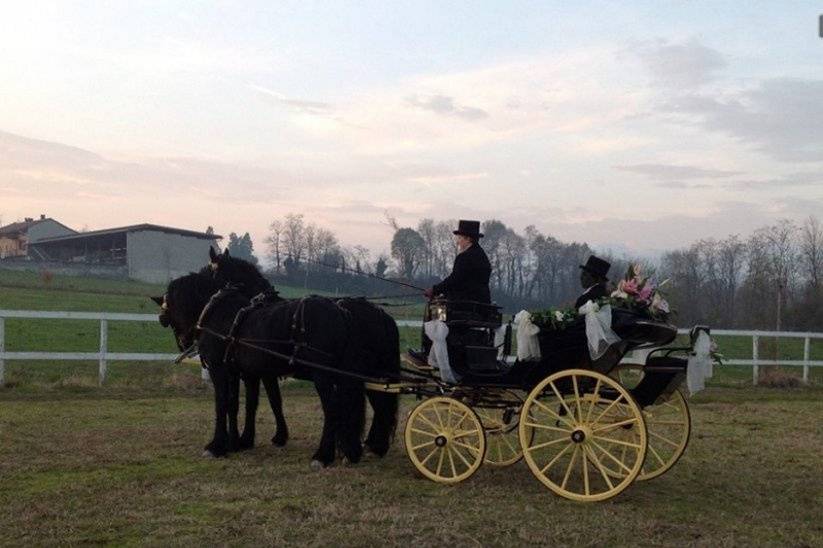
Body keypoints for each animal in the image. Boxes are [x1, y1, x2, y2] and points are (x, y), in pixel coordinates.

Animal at [161, 270, 366, 466]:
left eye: (168, 303)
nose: (162, 319)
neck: (218, 314)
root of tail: (341, 312)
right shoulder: (239, 372)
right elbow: (237, 404)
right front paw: (236, 442)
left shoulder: (219, 369)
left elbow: (221, 404)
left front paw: (216, 446)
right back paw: (350, 452)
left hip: (322, 375)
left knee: (332, 408)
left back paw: (323, 456)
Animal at [209, 250, 402, 456]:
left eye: (214, 274)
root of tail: (382, 315)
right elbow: (268, 400)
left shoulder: (261, 372)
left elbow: (266, 400)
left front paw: (264, 437)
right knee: (381, 404)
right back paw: (374, 445)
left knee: (379, 404)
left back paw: (372, 446)